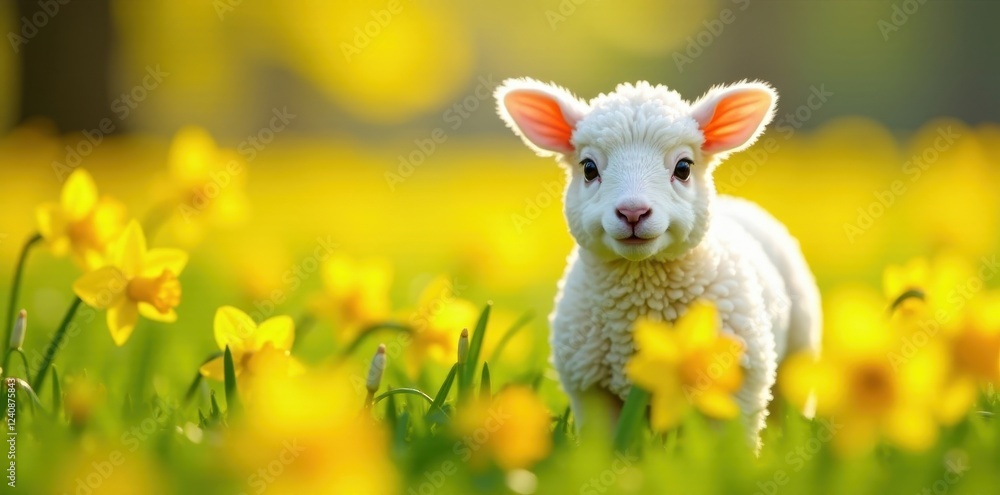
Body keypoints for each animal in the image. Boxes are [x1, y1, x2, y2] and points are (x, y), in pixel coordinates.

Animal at [494, 78, 822, 449]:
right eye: (589, 169)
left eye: (683, 168)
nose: (633, 212)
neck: (644, 295)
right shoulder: (589, 388)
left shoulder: (741, 381)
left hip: (799, 349)